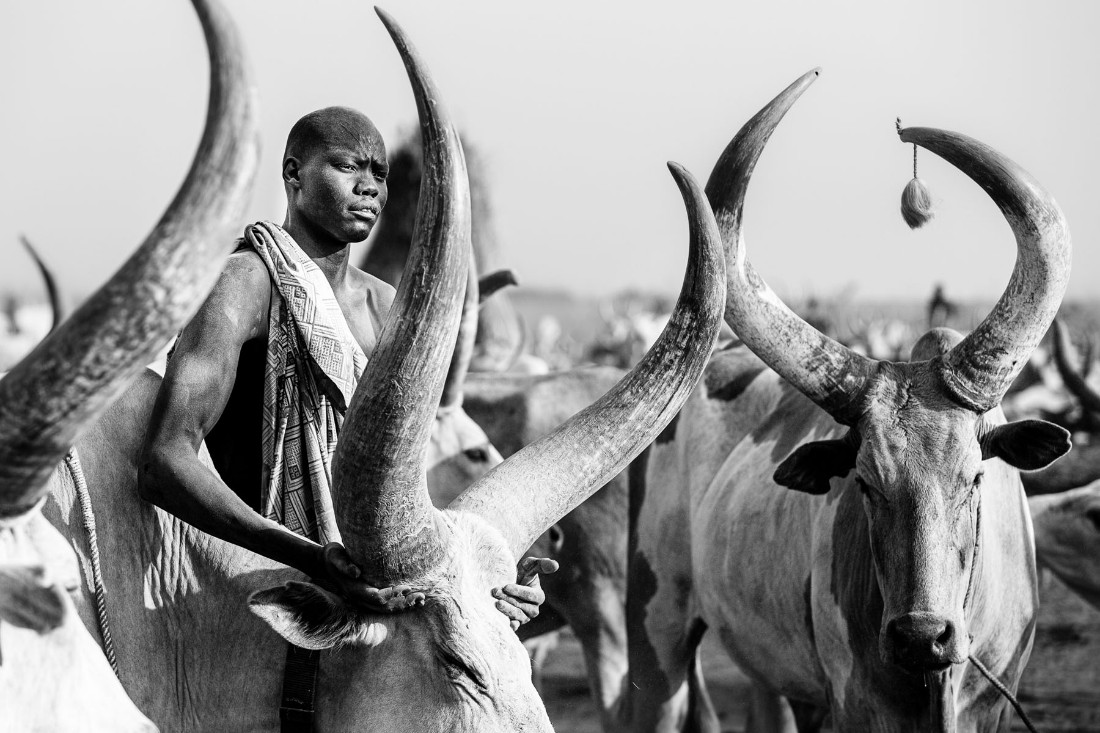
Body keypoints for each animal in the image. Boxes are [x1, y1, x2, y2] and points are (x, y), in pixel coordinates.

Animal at [629, 69, 1073, 730]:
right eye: (862, 482)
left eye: (975, 478)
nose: (922, 636)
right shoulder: (858, 703)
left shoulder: (995, 702)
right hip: (657, 632)